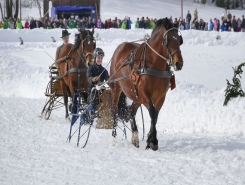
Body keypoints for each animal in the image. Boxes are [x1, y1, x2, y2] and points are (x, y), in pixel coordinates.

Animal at [109, 17, 184, 150]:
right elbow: (153, 113)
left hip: (136, 96)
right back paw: (113, 139)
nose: (178, 63)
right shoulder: (144, 94)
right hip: (116, 88)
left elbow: (156, 116)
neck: (154, 65)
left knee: (131, 112)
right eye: (168, 39)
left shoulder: (160, 96)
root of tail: (120, 47)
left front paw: (149, 140)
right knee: (114, 111)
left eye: (180, 40)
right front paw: (153, 141)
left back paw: (135, 137)